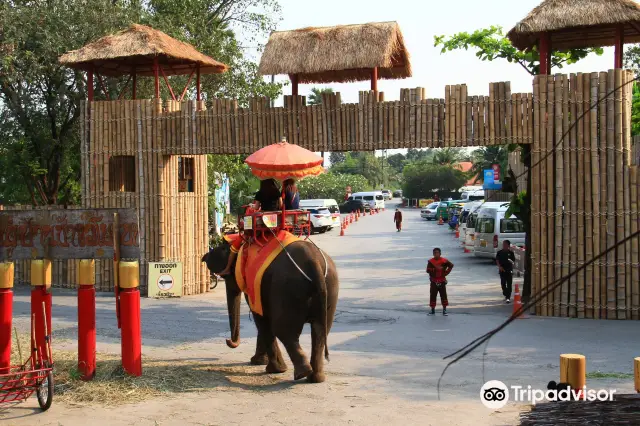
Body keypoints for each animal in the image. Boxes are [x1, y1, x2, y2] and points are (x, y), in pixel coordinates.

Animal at [201, 238, 339, 383]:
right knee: (320, 330)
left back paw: (301, 373)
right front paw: (258, 362)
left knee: (283, 331)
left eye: (227, 276)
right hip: (330, 287)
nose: (228, 341)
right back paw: (315, 378)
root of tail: (314, 262)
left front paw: (268, 367)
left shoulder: (254, 286)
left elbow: (261, 318)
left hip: (286, 288)